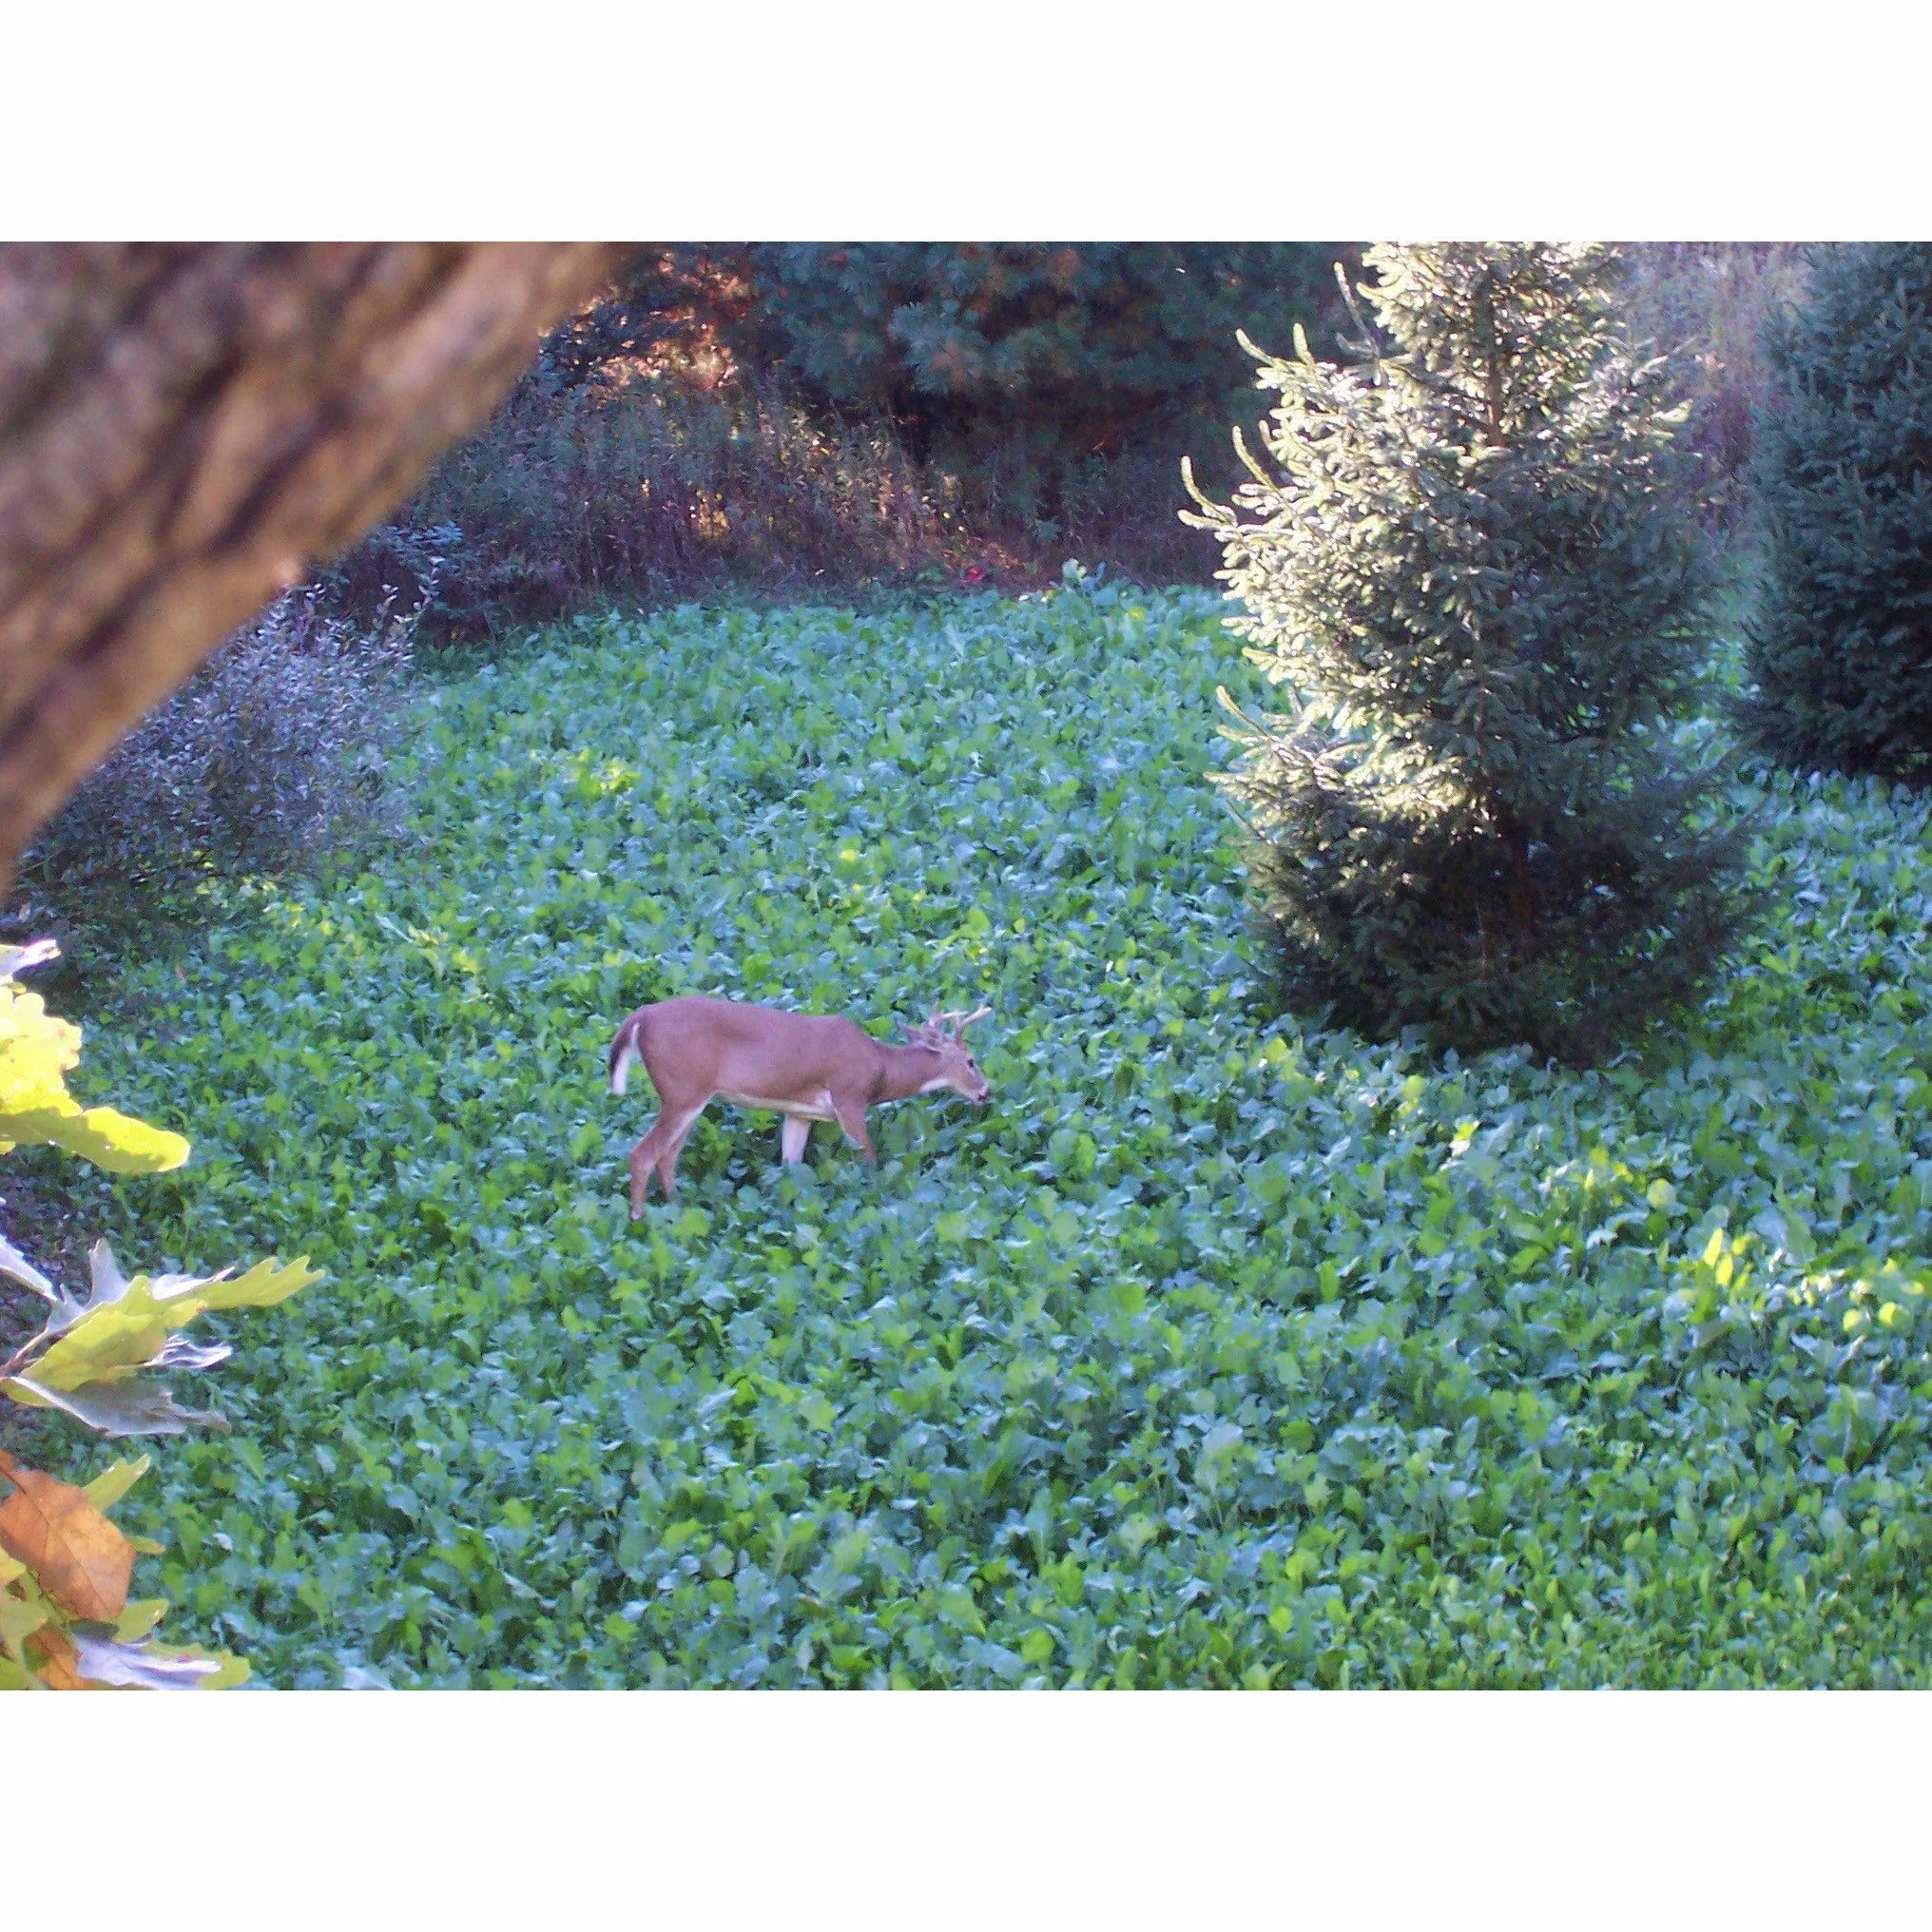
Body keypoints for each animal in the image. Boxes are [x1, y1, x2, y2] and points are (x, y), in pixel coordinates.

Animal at [607, 996, 993, 1216]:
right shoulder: (849, 1098)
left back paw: (678, 1209)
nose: (987, 1092)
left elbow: (791, 1166)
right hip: (681, 1091)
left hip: (691, 1096)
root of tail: (638, 1019)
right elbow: (869, 1157)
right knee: (642, 1154)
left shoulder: (800, 1112)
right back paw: (639, 1219)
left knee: (666, 1157)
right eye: (971, 1061)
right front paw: (873, 1199)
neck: (880, 1068)